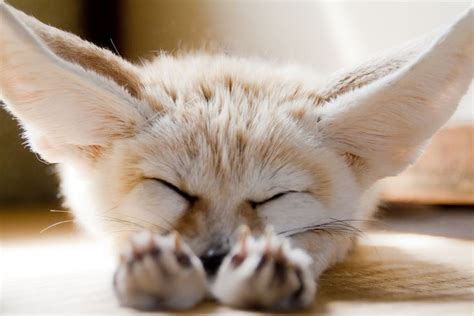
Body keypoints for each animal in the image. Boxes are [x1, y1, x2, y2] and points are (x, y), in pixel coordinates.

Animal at [1, 1, 472, 312]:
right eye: (172, 189)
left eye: (275, 198)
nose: (213, 259)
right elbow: (121, 232)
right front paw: (154, 266)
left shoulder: (349, 225)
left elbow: (320, 238)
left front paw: (271, 268)